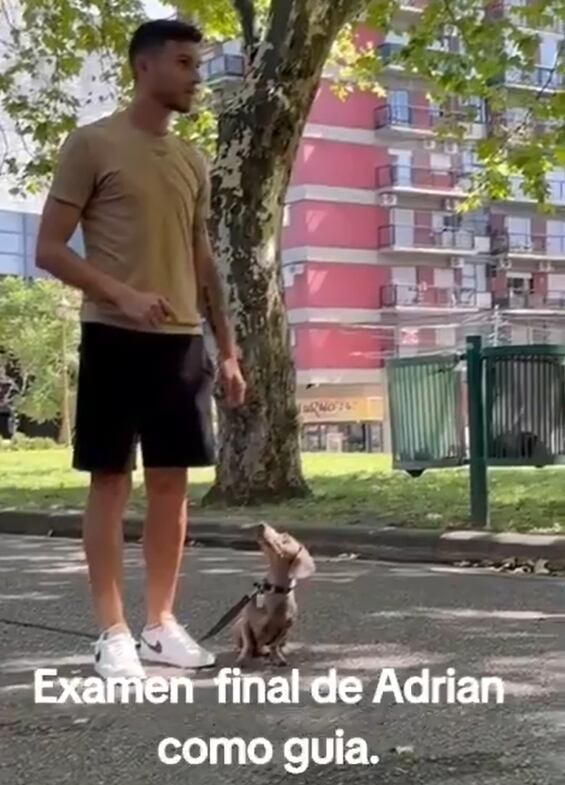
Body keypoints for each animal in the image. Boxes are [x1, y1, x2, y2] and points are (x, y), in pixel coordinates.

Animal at [231, 524, 316, 664]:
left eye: (285, 538)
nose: (261, 524)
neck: (274, 589)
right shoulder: (245, 623)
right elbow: (248, 643)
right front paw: (243, 658)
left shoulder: (286, 627)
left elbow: (274, 644)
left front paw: (277, 657)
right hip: (237, 625)